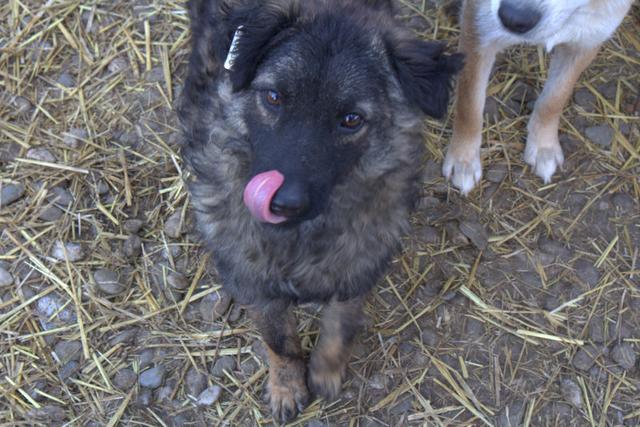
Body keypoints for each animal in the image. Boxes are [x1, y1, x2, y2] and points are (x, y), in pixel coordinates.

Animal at [442, 0, 632, 194]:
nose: (512, 18)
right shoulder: (478, 26)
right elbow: (469, 106)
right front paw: (463, 161)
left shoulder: (588, 39)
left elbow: (554, 99)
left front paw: (543, 146)